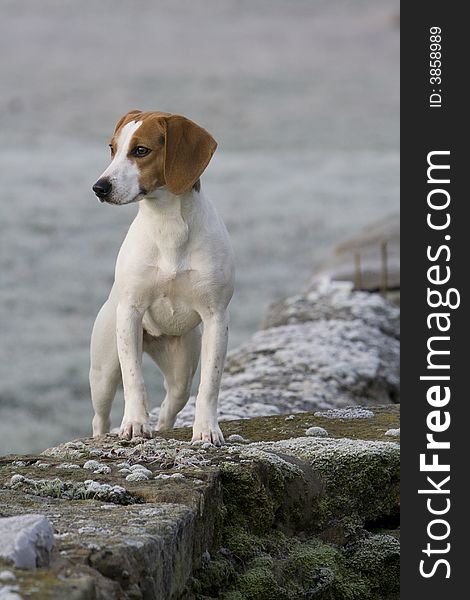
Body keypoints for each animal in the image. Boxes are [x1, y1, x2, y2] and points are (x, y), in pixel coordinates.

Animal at [89, 109, 233, 446]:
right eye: (112, 148)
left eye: (141, 150)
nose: (99, 187)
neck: (168, 224)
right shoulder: (130, 313)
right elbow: (134, 380)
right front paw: (134, 424)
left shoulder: (216, 318)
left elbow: (210, 385)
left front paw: (207, 429)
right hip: (103, 371)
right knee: (99, 417)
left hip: (181, 369)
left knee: (171, 405)